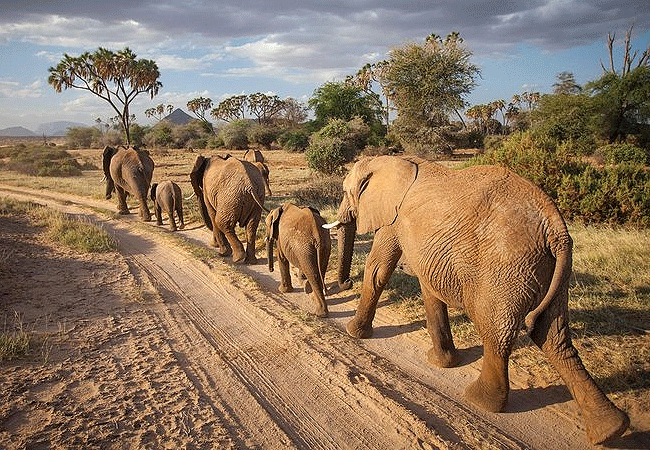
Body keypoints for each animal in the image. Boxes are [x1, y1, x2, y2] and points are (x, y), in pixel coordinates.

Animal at [324, 156, 628, 446]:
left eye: (345, 192)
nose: (344, 284)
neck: (387, 160)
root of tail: (556, 228)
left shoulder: (393, 221)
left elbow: (378, 269)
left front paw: (353, 333)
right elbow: (429, 289)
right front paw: (442, 362)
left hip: (505, 268)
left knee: (496, 332)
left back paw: (480, 400)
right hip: (550, 269)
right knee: (552, 333)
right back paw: (610, 430)